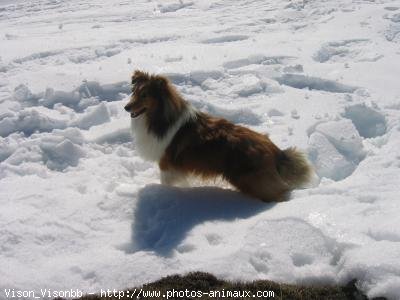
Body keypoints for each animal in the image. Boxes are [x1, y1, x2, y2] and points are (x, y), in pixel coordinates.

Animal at [125, 70, 312, 202]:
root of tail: (276, 150)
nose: (126, 108)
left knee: (279, 193)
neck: (160, 118)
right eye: (134, 92)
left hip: (249, 180)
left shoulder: (166, 166)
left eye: (145, 95)